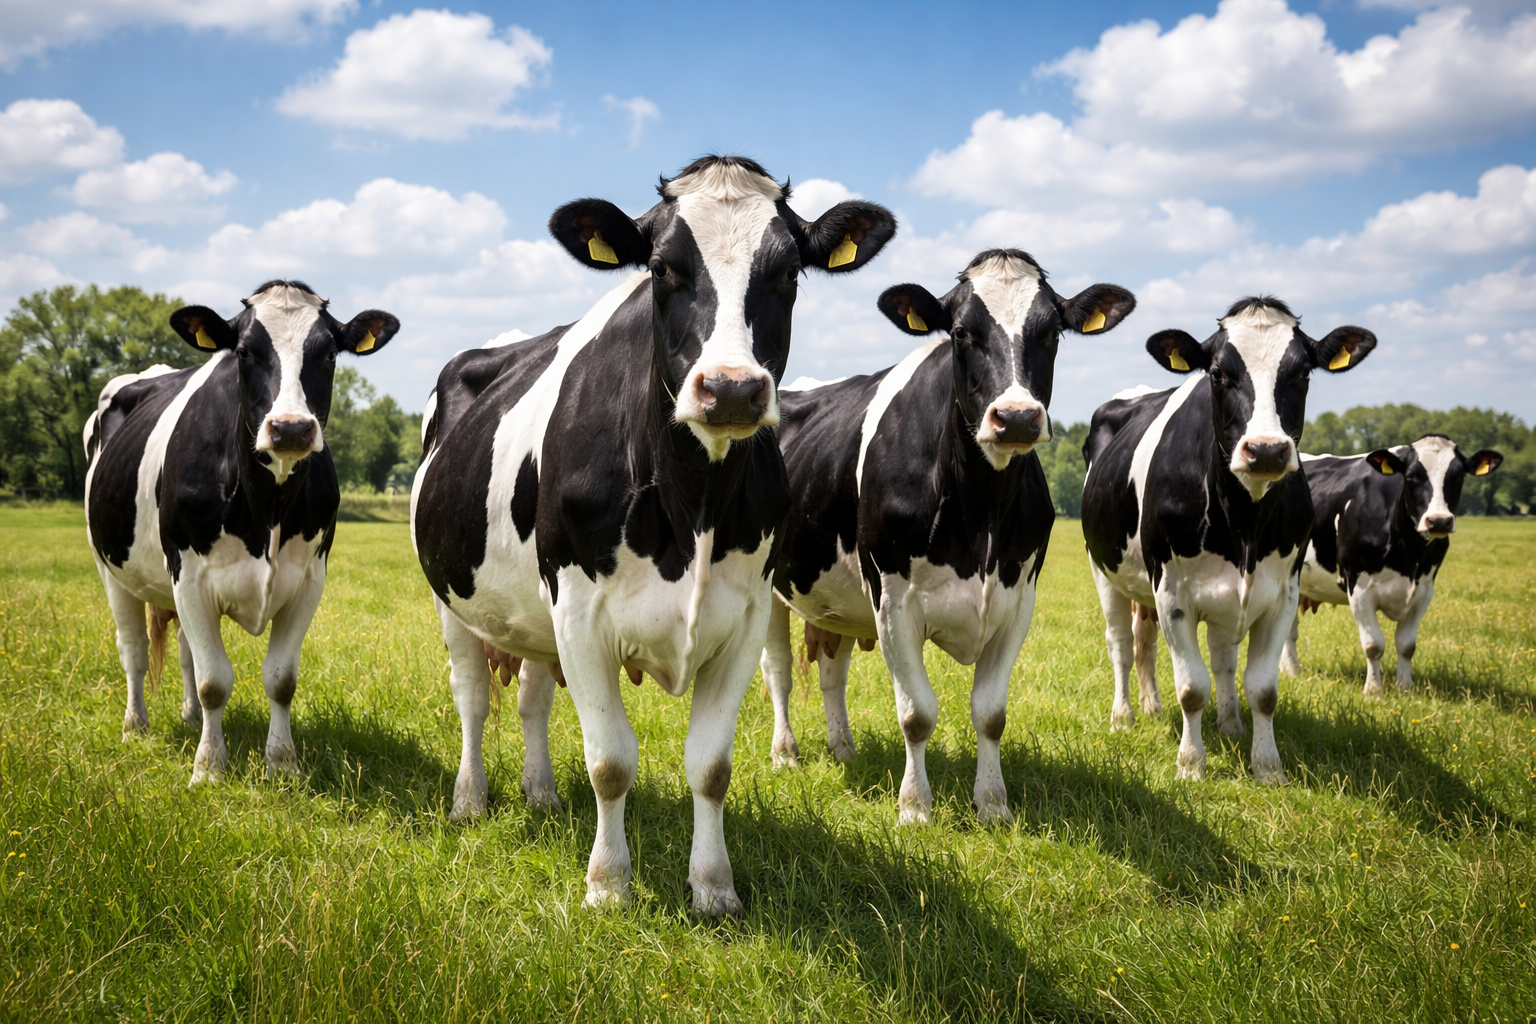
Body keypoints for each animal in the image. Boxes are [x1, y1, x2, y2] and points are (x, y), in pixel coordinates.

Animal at [83, 280, 398, 784]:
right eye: (245, 353)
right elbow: (215, 681)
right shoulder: (189, 575)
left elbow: (281, 680)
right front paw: (209, 767)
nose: (291, 428)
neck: (267, 504)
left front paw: (283, 763)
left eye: (329, 354)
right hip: (109, 566)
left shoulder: (309, 579)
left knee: (185, 650)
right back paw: (136, 725)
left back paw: (189, 717)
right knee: (133, 649)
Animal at [410, 156, 896, 915]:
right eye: (664, 268)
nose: (730, 389)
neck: (691, 502)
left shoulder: (744, 617)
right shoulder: (580, 613)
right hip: (451, 596)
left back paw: (541, 794)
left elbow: (712, 766)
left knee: (531, 697)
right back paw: (470, 800)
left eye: (788, 272)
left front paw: (715, 887)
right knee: (472, 694)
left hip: (536, 617)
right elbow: (611, 761)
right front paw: (608, 885)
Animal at [758, 249, 1136, 825]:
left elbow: (991, 714)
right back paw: (786, 754)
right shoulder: (892, 602)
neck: (981, 510)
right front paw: (915, 807)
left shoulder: (1018, 600)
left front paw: (994, 804)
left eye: (1051, 332)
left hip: (837, 598)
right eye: (961, 332)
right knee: (778, 670)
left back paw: (843, 747)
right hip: (769, 584)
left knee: (831, 668)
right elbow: (917, 713)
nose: (1017, 417)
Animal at [1080, 296, 1377, 782]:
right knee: (1121, 644)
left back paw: (1211, 719)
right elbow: (1191, 687)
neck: (1245, 522)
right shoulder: (1172, 592)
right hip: (1104, 570)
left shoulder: (1282, 592)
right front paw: (1190, 764)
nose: (1267, 450)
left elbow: (1262, 688)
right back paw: (1124, 715)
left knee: (1194, 652)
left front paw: (1267, 765)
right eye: (1218, 373)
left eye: (1302, 372)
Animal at [1281, 435, 1502, 695]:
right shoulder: (1359, 587)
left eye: (1459, 477)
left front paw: (1405, 687)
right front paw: (1374, 691)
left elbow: (1406, 645)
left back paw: (1290, 669)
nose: (1439, 521)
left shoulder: (1424, 590)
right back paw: (1291, 671)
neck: (1409, 553)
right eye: (1411, 477)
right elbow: (1374, 645)